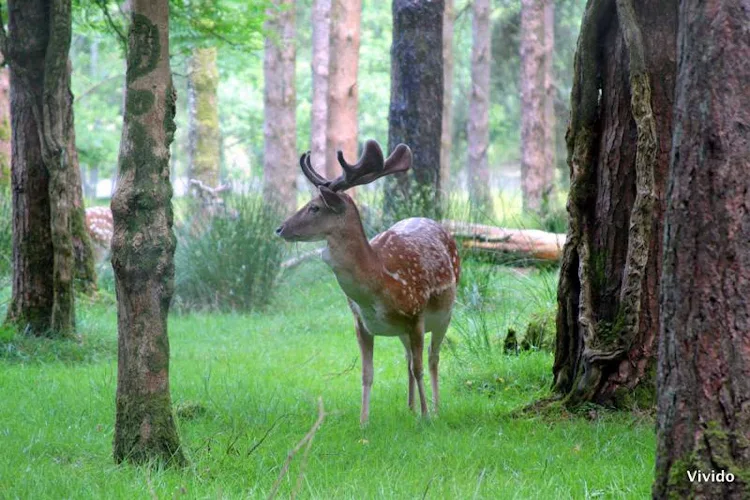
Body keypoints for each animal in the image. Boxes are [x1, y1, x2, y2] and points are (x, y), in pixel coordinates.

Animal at [276, 139, 461, 424]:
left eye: (314, 207)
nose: (280, 228)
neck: (378, 286)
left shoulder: (416, 315)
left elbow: (420, 368)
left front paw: (426, 416)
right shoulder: (361, 323)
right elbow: (367, 373)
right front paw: (364, 421)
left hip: (445, 314)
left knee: (432, 358)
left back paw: (436, 409)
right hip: (402, 331)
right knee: (408, 359)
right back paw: (409, 407)